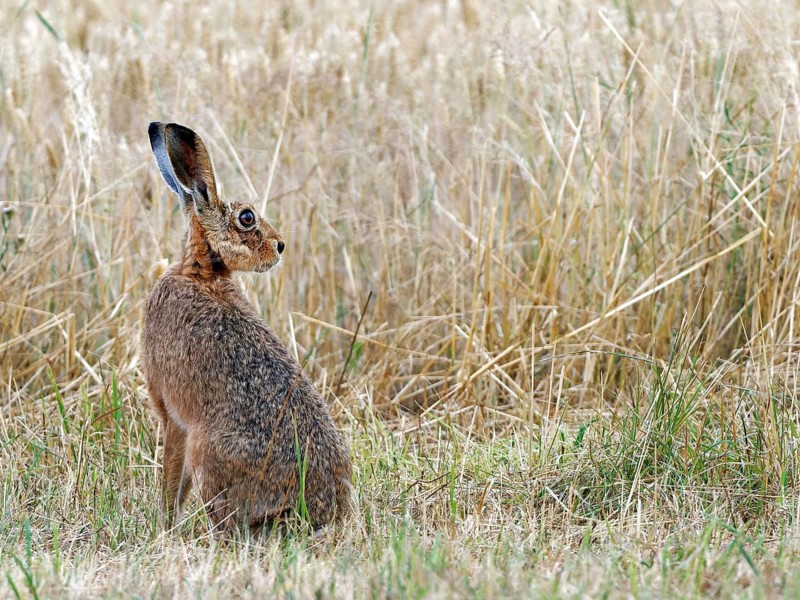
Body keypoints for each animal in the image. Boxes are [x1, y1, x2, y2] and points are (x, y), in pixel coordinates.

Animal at [142, 122, 351, 534]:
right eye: (247, 218)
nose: (280, 246)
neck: (201, 273)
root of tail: (316, 512)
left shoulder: (173, 418)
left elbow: (173, 479)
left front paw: (165, 525)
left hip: (207, 452)